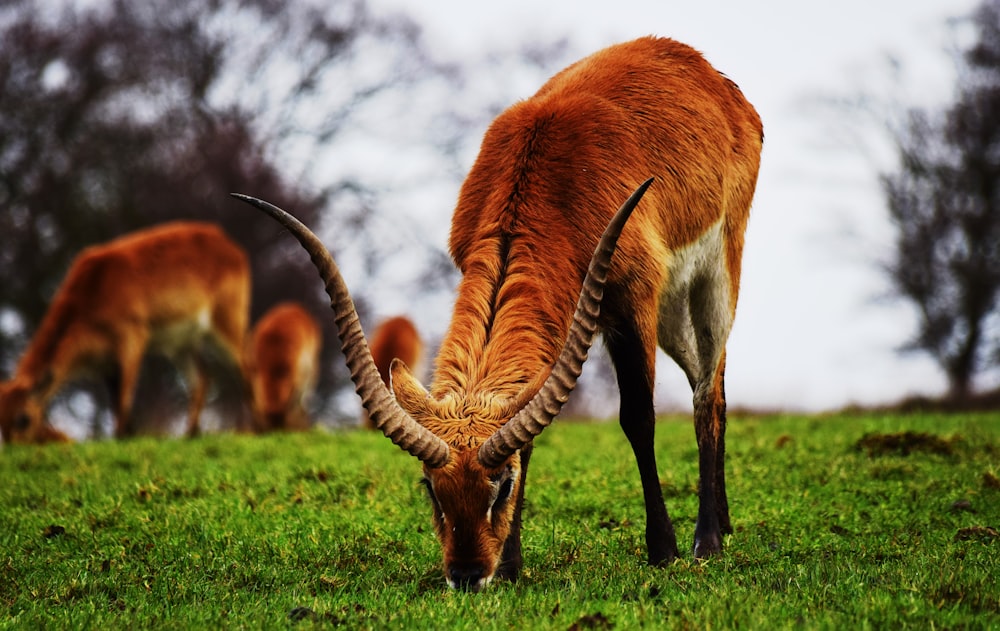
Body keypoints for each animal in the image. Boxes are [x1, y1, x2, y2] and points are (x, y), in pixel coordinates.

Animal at [0, 222, 250, 444]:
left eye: (23, 419)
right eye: (2, 419)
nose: (13, 448)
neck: (91, 292)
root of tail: (229, 243)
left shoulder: (132, 337)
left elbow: (124, 395)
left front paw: (120, 438)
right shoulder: (105, 363)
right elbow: (114, 398)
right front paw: (128, 435)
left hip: (226, 326)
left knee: (245, 369)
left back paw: (255, 428)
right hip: (180, 345)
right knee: (202, 379)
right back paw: (190, 434)